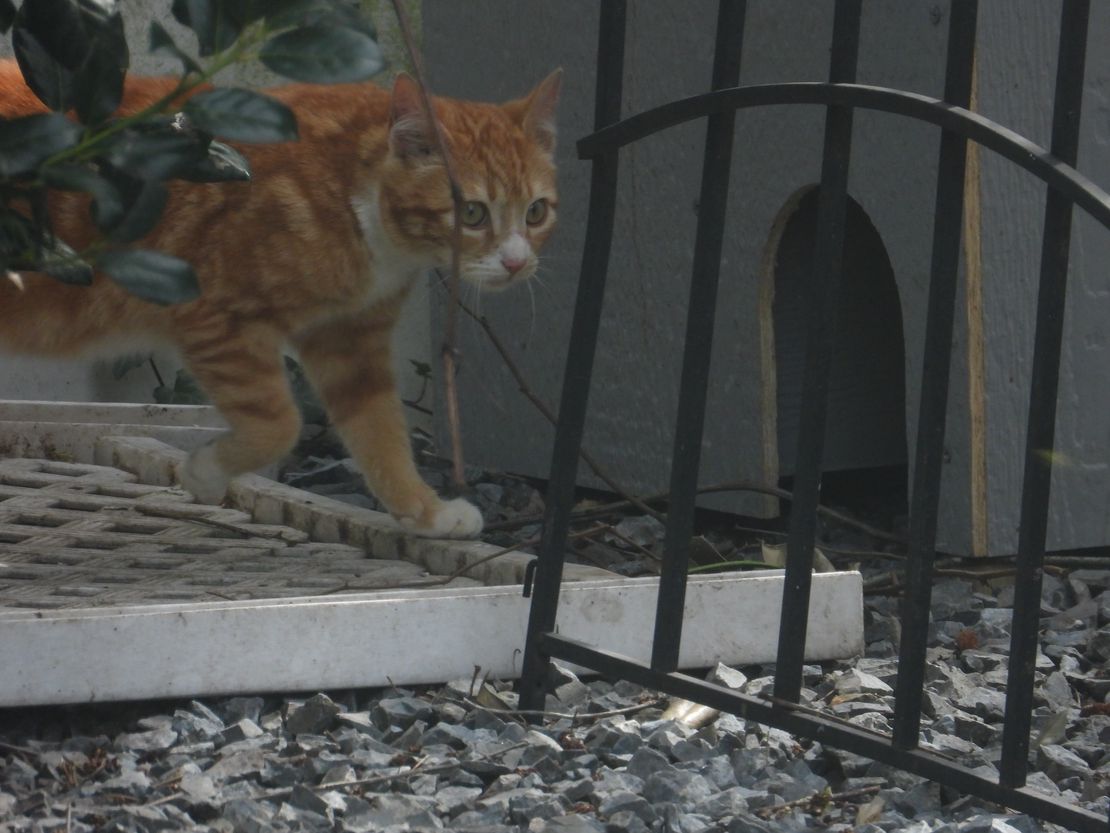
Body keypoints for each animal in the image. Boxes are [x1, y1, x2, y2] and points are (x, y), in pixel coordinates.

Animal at [0, 60, 559, 542]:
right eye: (472, 213)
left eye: (536, 212)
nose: (516, 263)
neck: (357, 198)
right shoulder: (218, 319)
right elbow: (282, 425)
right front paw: (204, 472)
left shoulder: (350, 342)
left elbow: (381, 435)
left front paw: (424, 511)